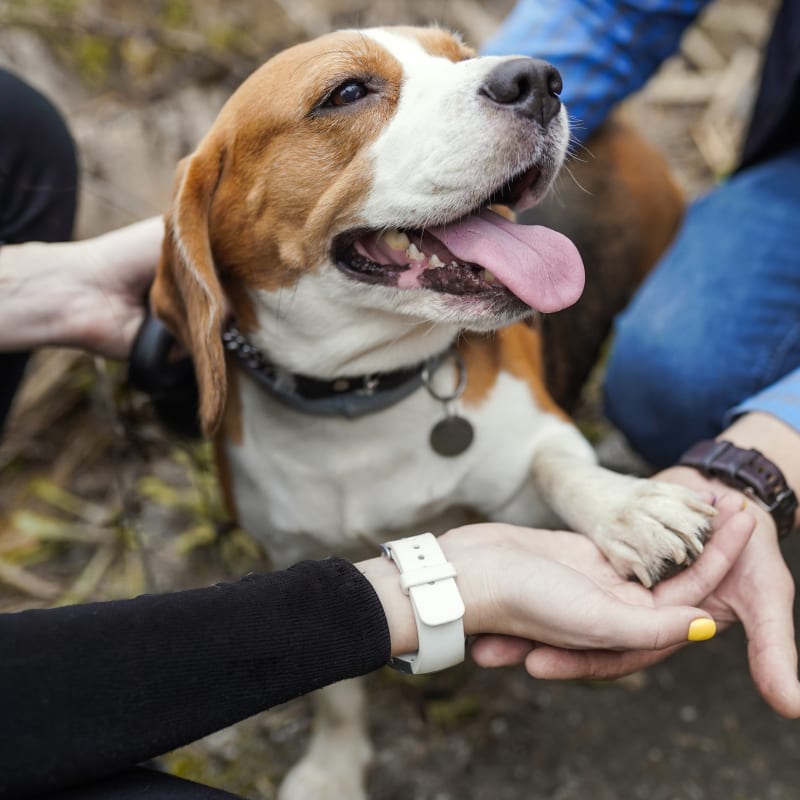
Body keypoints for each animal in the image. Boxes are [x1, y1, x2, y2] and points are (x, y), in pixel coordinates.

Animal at [150, 26, 712, 800]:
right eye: (346, 92)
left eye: (460, 55)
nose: (539, 80)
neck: (362, 397)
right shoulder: (296, 556)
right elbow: (335, 689)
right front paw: (333, 768)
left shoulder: (530, 459)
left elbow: (559, 467)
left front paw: (629, 510)